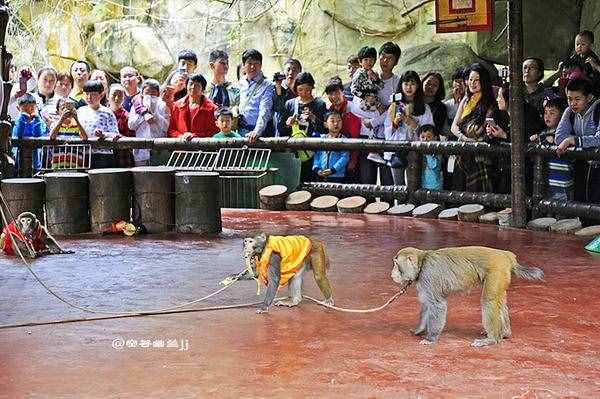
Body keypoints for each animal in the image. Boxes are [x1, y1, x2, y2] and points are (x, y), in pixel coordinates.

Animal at [392, 247, 548, 346]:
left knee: (489, 301)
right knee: (500, 302)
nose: (392, 273)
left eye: (396, 264)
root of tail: (507, 255)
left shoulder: (428, 276)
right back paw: (504, 333)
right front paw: (419, 329)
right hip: (503, 274)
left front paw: (431, 338)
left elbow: (437, 305)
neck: (422, 262)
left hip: (497, 271)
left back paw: (492, 339)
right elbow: (426, 305)